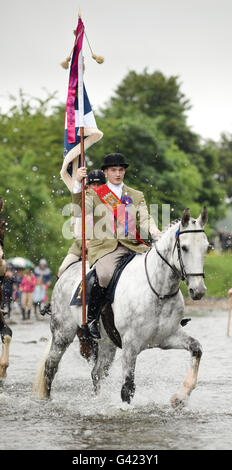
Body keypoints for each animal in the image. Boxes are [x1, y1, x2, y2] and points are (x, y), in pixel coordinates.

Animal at [33, 208, 209, 408]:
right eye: (185, 247)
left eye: (207, 248)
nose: (198, 290)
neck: (159, 290)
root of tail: (66, 271)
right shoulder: (131, 344)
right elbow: (128, 387)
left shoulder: (168, 337)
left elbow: (196, 349)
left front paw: (181, 396)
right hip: (63, 334)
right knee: (51, 366)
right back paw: (46, 400)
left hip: (107, 342)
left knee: (97, 373)